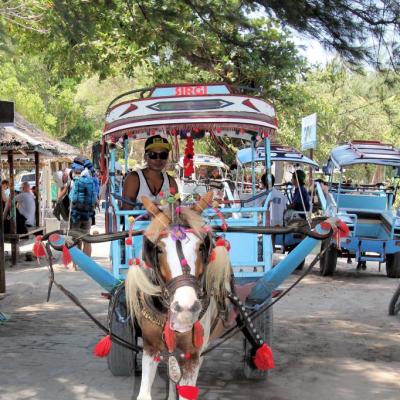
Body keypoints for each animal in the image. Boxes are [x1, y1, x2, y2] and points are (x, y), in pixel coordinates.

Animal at [125, 192, 231, 398]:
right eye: (158, 249)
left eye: (201, 247)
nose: (185, 309)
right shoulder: (150, 348)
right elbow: (144, 394)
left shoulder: (192, 355)